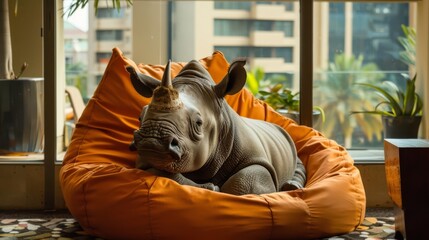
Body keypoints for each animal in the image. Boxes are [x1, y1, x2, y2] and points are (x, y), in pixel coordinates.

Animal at [125, 59, 306, 196]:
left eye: (198, 123)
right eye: (140, 117)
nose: (152, 141)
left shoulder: (257, 160)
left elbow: (244, 184)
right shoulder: (145, 162)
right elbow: (162, 174)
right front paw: (210, 188)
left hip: (289, 141)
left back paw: (291, 187)